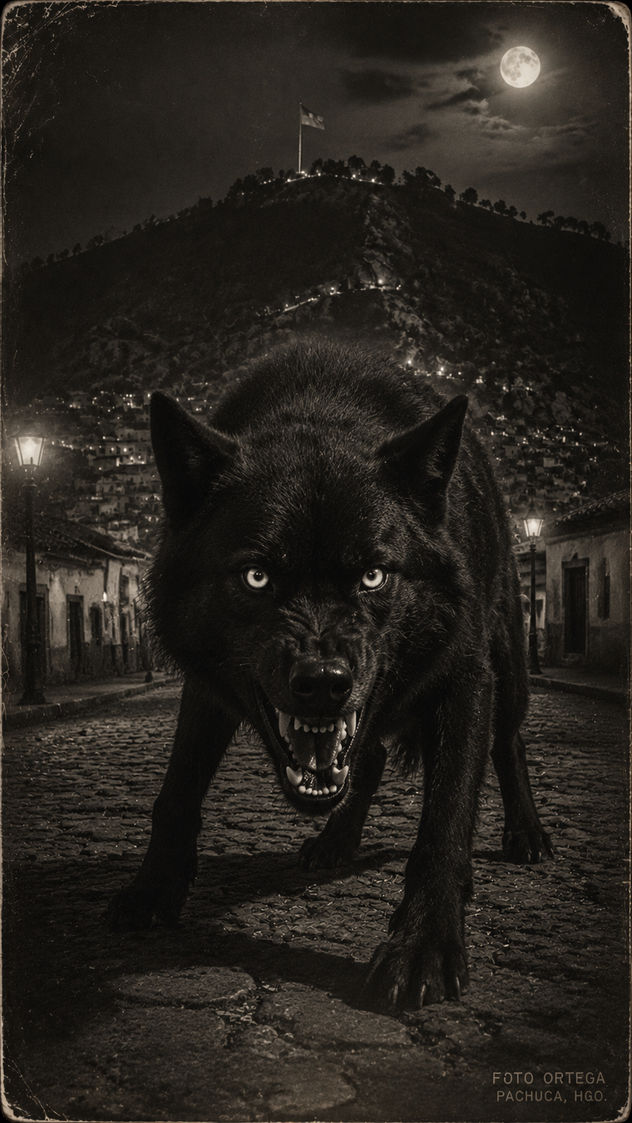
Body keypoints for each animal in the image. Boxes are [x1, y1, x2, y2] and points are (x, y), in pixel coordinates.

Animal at [109, 340, 551, 1010]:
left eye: (373, 575)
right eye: (257, 576)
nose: (323, 681)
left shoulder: (465, 679)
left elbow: (445, 823)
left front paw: (421, 947)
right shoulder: (208, 689)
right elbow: (178, 789)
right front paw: (152, 893)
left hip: (508, 669)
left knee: (508, 742)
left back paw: (526, 833)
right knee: (369, 757)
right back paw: (338, 840)